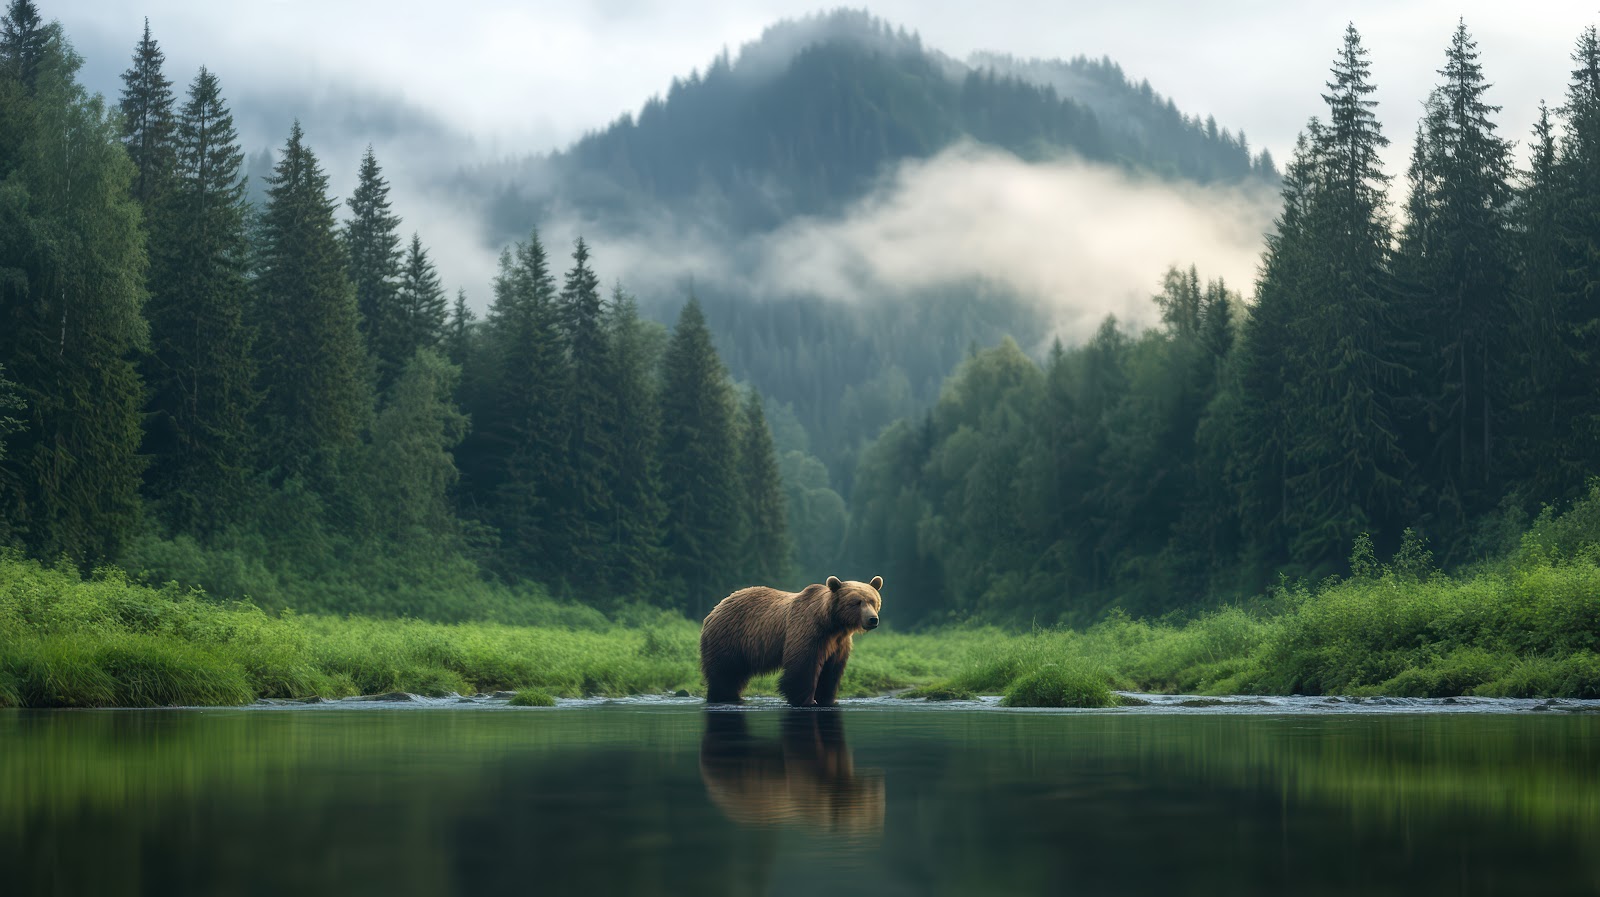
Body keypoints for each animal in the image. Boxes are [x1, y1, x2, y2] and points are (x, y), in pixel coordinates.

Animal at [699, 575, 883, 706]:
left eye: (873, 601)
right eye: (857, 602)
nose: (873, 619)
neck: (832, 624)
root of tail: (716, 608)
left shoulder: (838, 643)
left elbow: (831, 671)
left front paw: (827, 699)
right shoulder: (807, 631)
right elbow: (803, 666)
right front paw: (806, 700)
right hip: (729, 638)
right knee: (725, 672)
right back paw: (723, 697)